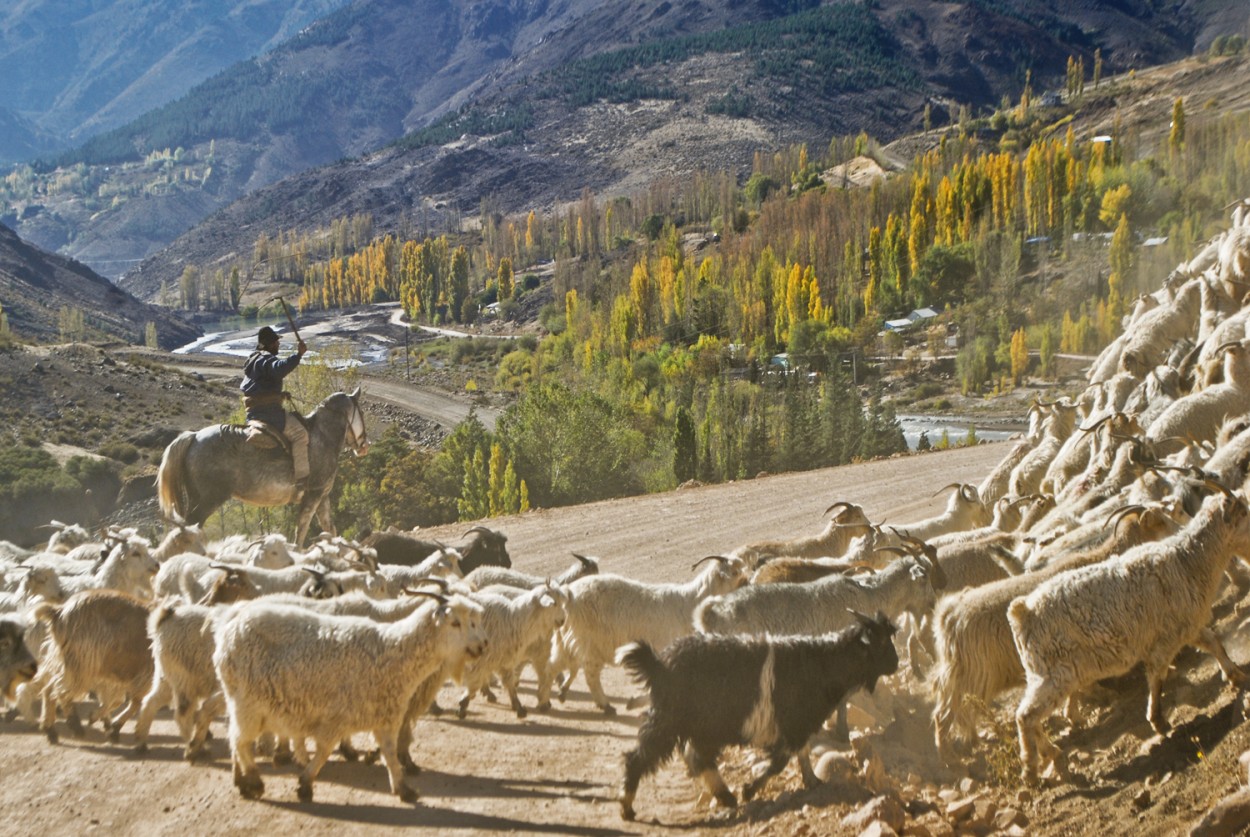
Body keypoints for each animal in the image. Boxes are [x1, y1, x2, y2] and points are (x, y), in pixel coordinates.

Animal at [158, 389, 367, 547]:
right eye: (362, 413)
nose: (364, 445)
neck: (323, 436)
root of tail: (193, 437)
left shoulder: (322, 496)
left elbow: (329, 528)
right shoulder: (313, 495)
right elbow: (301, 531)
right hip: (207, 501)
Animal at [617, 612, 900, 824]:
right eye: (881, 642)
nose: (896, 663)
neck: (824, 663)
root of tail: (658, 664)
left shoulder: (799, 726)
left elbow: (802, 754)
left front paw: (812, 781)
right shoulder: (792, 725)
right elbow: (780, 762)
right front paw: (749, 790)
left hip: (700, 727)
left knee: (698, 758)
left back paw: (725, 797)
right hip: (670, 721)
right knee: (640, 758)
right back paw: (627, 808)